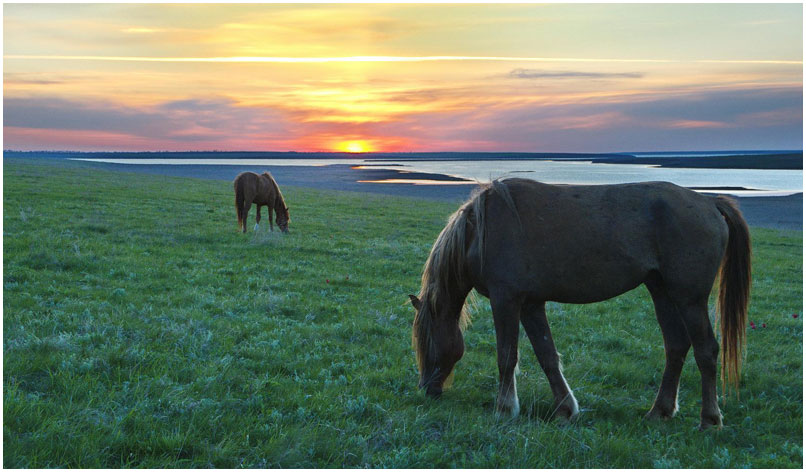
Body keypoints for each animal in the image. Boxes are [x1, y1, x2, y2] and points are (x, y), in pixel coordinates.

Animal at [409, 178, 751, 430]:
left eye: (427, 340)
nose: (426, 390)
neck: (480, 231)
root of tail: (709, 202)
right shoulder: (531, 304)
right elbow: (547, 355)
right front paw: (565, 408)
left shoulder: (506, 300)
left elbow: (507, 356)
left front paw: (504, 409)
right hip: (662, 291)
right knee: (676, 346)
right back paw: (660, 411)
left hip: (689, 298)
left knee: (706, 350)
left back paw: (710, 420)